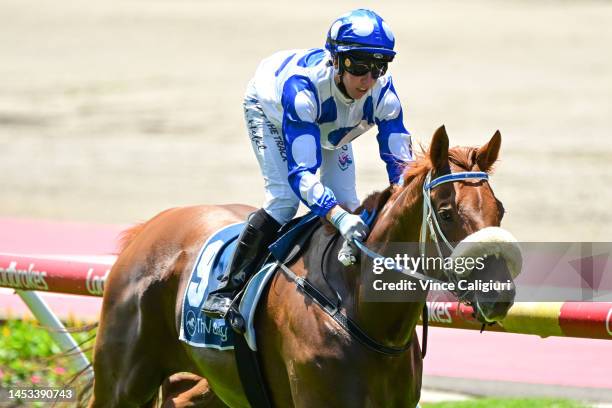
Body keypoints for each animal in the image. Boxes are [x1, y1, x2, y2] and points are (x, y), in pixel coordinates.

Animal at [88, 126, 520, 406]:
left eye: (500, 210)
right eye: (446, 213)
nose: (498, 295)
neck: (358, 309)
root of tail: (147, 229)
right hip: (121, 383)